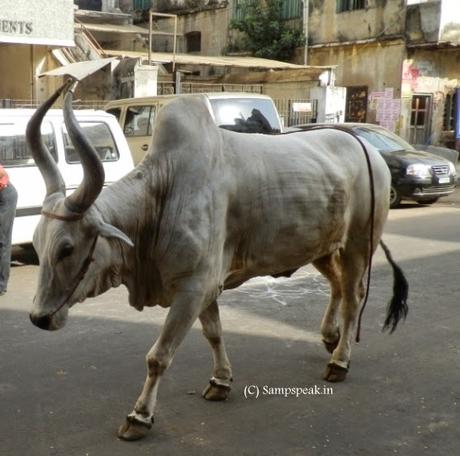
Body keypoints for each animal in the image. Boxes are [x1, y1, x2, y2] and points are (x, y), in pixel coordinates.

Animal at [27, 83, 408, 442]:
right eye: (36, 243)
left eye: (66, 248)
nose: (38, 318)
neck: (162, 194)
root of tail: (368, 149)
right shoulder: (205, 287)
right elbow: (214, 333)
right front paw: (220, 381)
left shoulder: (194, 287)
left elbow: (159, 356)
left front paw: (139, 417)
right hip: (322, 248)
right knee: (337, 286)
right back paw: (330, 337)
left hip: (358, 243)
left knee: (353, 296)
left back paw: (339, 361)